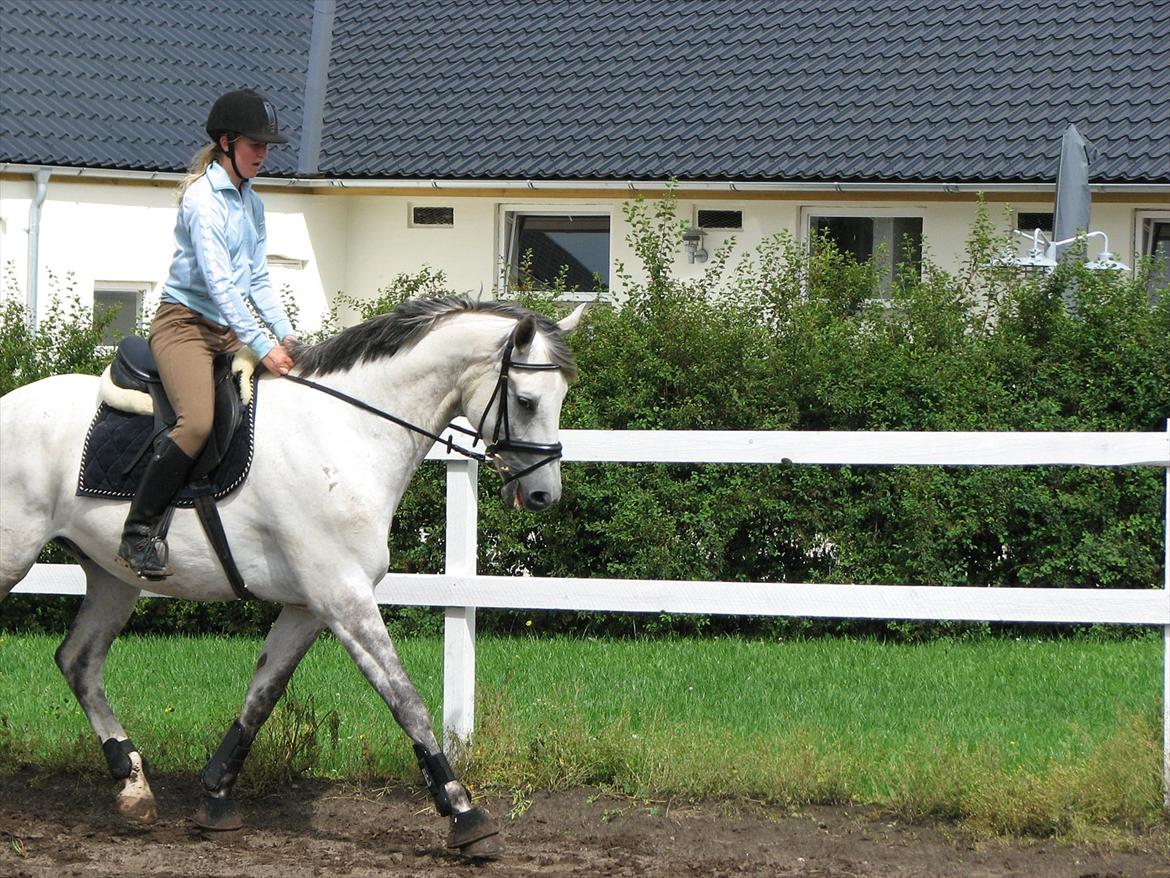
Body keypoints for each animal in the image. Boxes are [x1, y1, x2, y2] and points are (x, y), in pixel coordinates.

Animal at [0, 297, 585, 861]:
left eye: (560, 396)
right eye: (527, 401)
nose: (543, 495)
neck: (347, 432)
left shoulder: (311, 605)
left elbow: (264, 692)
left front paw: (216, 796)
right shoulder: (343, 596)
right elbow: (405, 700)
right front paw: (465, 817)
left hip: (112, 575)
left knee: (78, 661)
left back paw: (133, 785)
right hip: (14, 557)